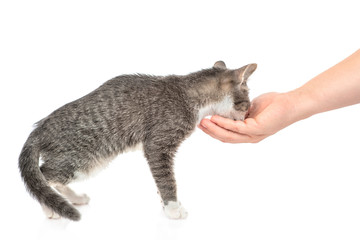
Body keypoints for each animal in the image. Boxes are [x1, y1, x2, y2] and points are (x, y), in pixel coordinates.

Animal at [19, 61, 256, 221]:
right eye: (247, 100)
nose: (248, 114)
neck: (188, 93)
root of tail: (39, 129)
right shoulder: (158, 144)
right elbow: (167, 179)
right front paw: (172, 208)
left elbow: (161, 181)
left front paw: (166, 204)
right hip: (81, 158)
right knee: (41, 175)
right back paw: (49, 206)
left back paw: (73, 198)